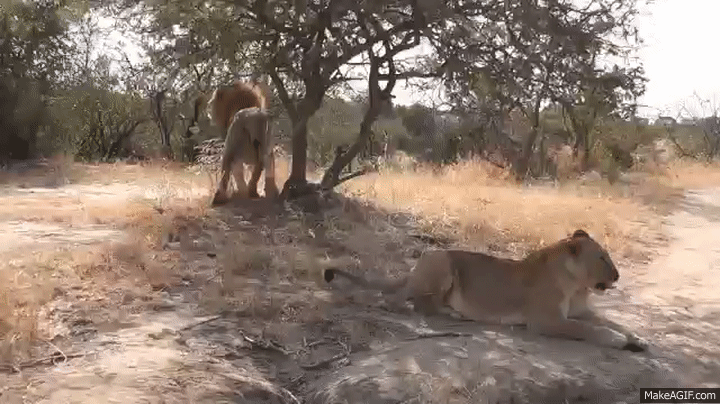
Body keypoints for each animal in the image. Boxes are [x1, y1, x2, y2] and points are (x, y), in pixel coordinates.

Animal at [324, 229, 648, 352]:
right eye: (602, 257)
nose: (617, 274)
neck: (577, 284)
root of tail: (413, 268)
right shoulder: (546, 321)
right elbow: (587, 330)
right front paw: (618, 341)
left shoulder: (582, 311)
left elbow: (611, 321)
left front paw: (638, 338)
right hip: (442, 262)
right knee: (408, 302)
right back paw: (454, 315)